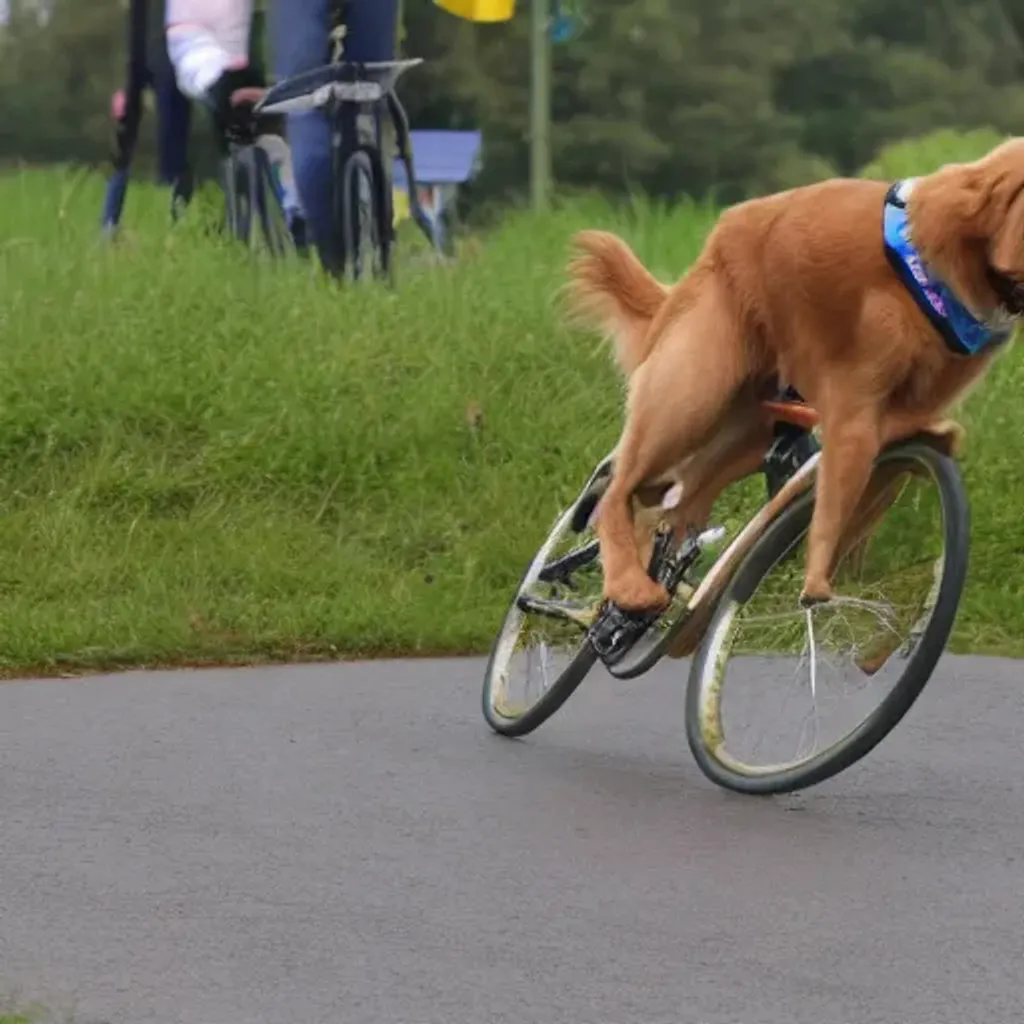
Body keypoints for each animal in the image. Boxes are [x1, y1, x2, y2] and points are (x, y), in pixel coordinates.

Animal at [565, 138, 1024, 614]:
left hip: (751, 424)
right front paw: (818, 583)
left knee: (672, 500)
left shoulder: (906, 406)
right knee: (618, 491)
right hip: (694, 391)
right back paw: (627, 584)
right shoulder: (854, 408)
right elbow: (835, 502)